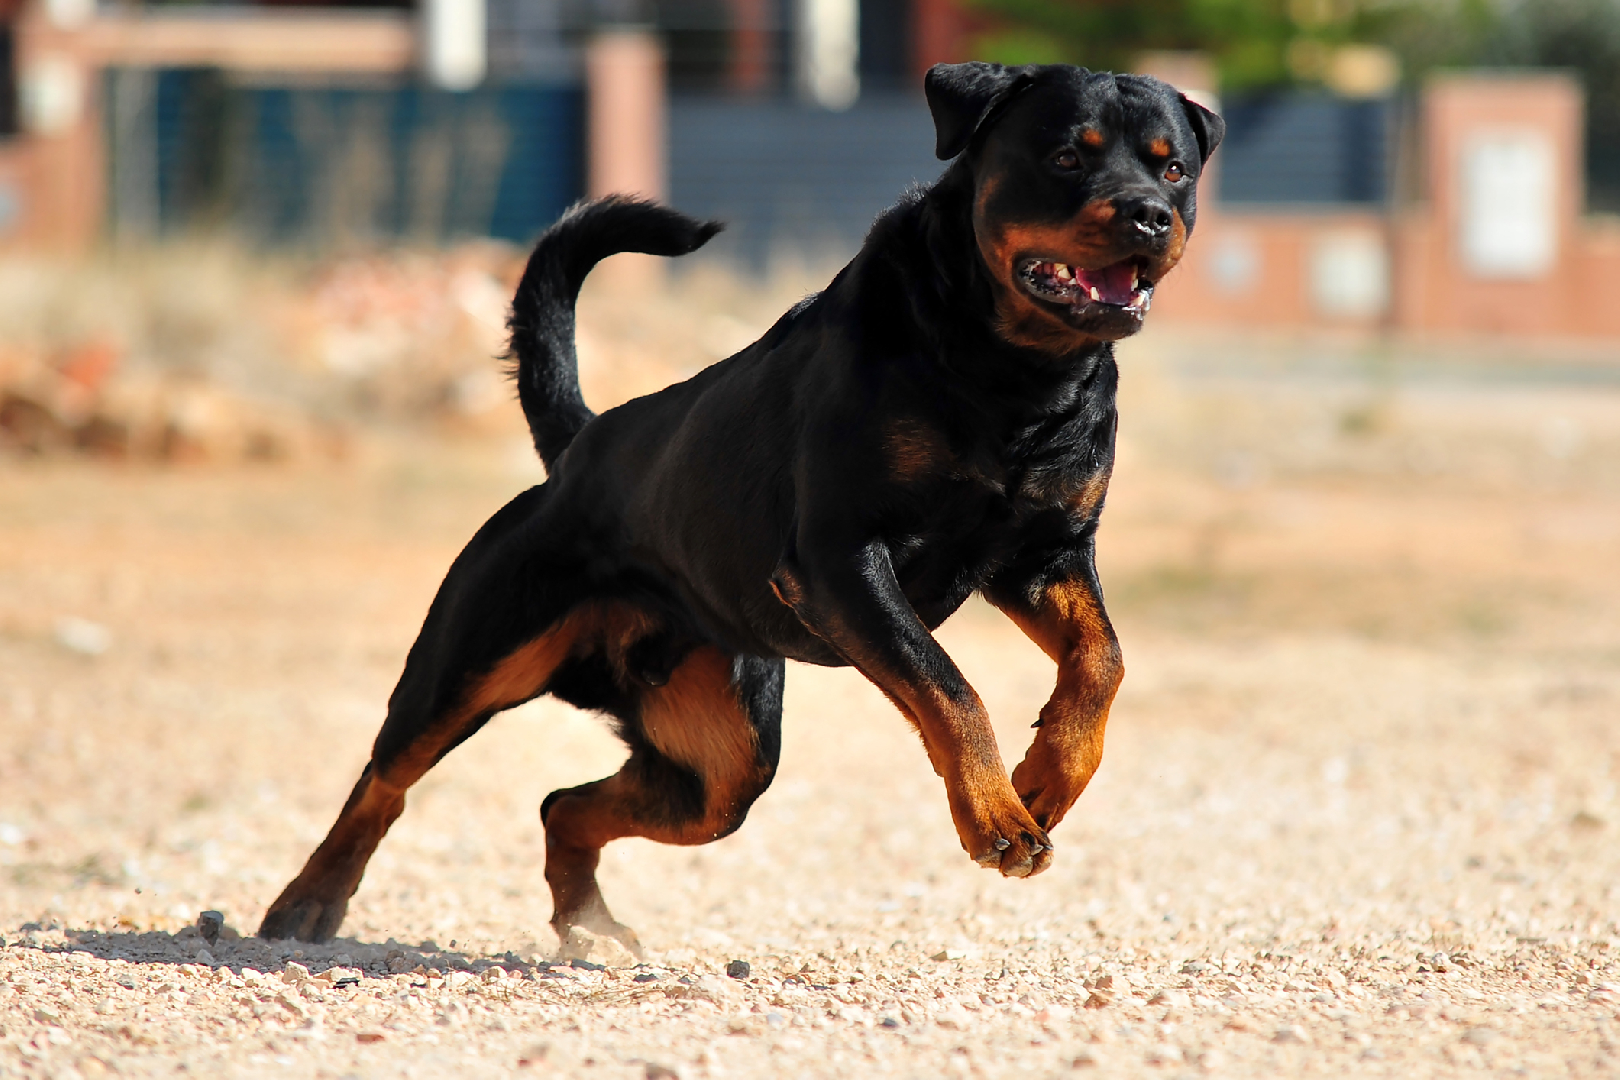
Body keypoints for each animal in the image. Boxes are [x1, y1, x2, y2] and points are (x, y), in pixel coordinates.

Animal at [259, 61, 1218, 952]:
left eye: (1174, 169)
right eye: (1065, 157)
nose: (1148, 215)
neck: (1015, 374)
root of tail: (580, 446)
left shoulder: (1045, 555)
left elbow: (1102, 660)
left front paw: (1050, 775)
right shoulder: (841, 559)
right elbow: (949, 687)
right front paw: (997, 816)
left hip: (723, 759)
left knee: (566, 803)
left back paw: (586, 920)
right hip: (475, 656)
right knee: (387, 777)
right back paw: (308, 900)